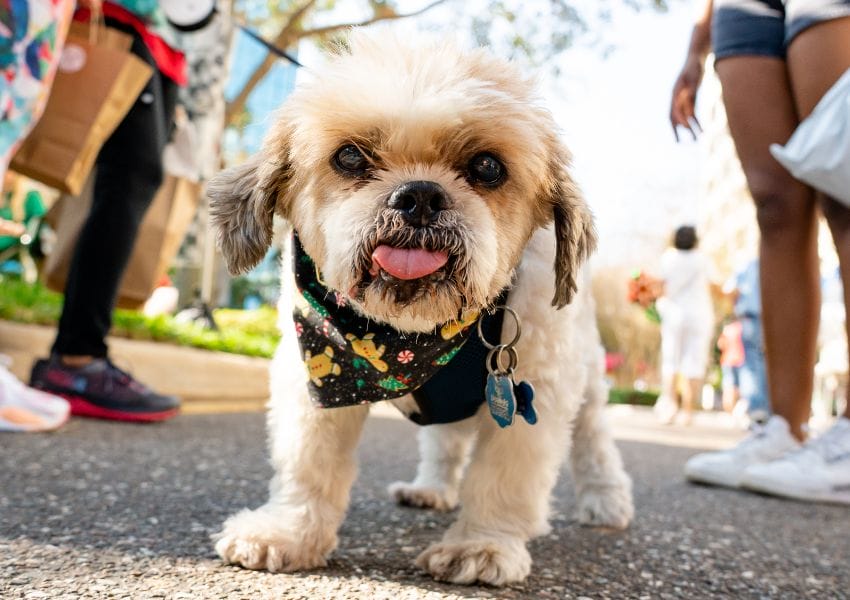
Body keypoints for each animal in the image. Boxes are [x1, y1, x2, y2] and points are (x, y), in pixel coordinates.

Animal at [205, 28, 628, 584]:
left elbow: (504, 479)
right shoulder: (319, 370)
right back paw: (431, 488)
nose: (421, 195)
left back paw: (606, 499)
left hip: (589, 381)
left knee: (595, 439)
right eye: (349, 157)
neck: (410, 337)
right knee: (445, 441)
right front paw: (288, 533)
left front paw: (482, 545)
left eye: (487, 166)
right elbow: (308, 462)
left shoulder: (534, 387)